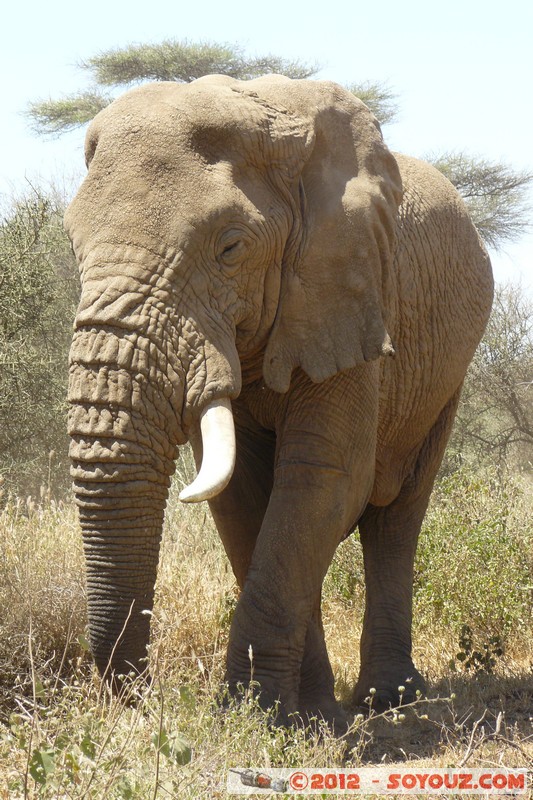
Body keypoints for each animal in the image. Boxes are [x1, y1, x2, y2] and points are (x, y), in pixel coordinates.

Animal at [64, 72, 492, 728]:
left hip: (447, 374)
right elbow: (243, 499)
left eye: (231, 248)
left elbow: (324, 479)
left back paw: (391, 699)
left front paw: (255, 714)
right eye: (72, 247)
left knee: (396, 516)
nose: (142, 701)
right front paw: (304, 715)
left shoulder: (350, 291)